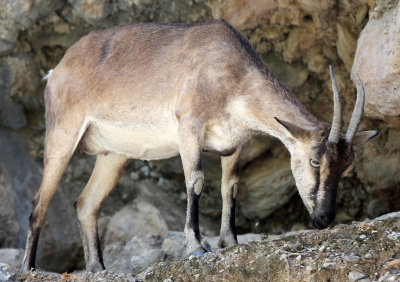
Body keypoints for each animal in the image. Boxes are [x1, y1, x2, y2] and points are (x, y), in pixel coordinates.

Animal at [21, 19, 378, 270]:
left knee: (86, 204)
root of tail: (57, 71)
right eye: (316, 160)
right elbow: (195, 181)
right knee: (39, 203)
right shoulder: (189, 126)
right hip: (63, 133)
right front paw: (196, 245)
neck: (231, 71)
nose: (323, 219)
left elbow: (229, 188)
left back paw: (98, 268)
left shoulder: (234, 144)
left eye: (347, 169)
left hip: (114, 155)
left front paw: (230, 241)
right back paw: (30, 268)